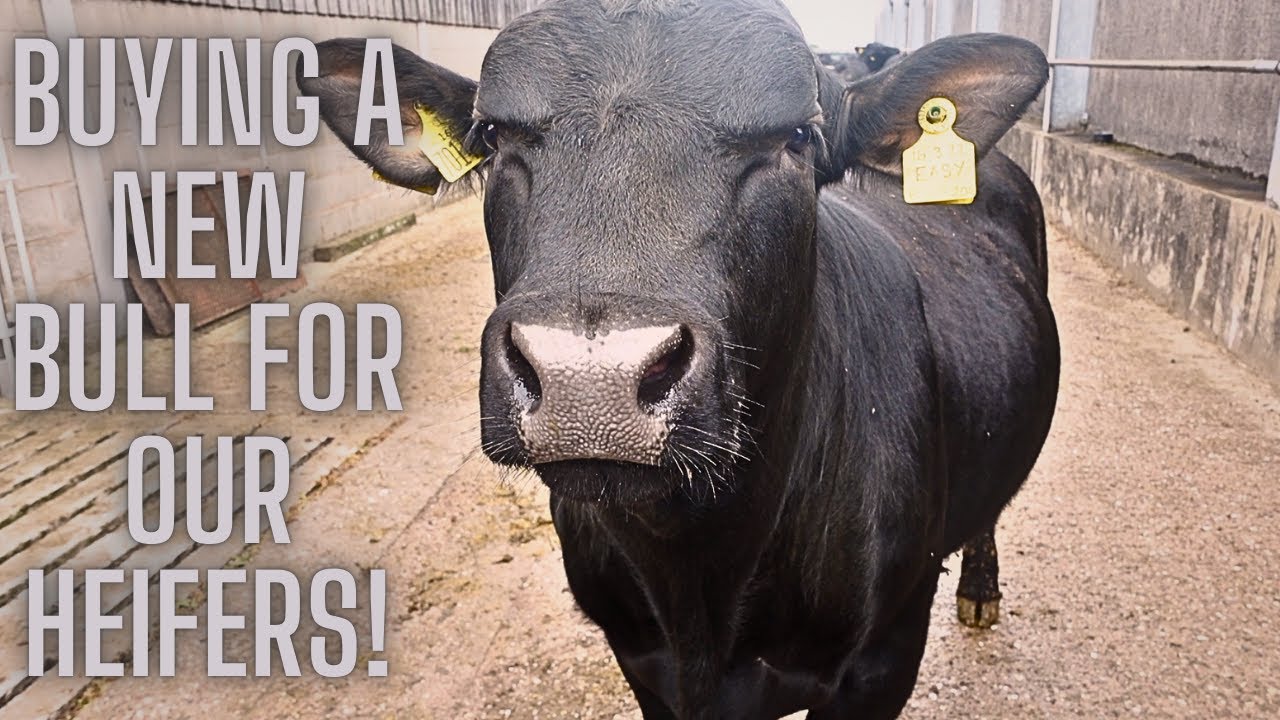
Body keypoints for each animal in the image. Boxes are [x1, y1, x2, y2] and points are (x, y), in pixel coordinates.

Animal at [301, 0, 1060, 717]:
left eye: (798, 137)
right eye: (493, 134)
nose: (590, 381)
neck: (701, 581)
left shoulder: (886, 658)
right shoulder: (639, 659)